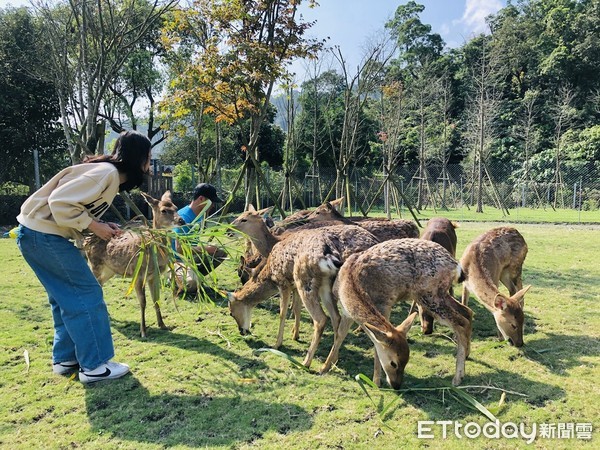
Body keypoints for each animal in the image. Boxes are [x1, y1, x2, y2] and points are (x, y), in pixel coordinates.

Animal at [83, 191, 183, 338]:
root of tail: (87, 241)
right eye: (164, 210)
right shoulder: (138, 274)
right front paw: (143, 332)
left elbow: (156, 299)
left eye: (176, 207)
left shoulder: (155, 276)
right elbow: (143, 302)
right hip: (94, 264)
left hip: (110, 270)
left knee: (100, 284)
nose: (181, 220)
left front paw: (163, 325)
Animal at [227, 223, 378, 368]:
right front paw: (295, 334)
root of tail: (329, 255)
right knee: (336, 317)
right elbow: (296, 308)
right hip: (326, 286)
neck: (269, 274)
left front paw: (277, 344)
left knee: (322, 318)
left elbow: (282, 313)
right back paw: (332, 361)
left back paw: (306, 362)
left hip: (305, 282)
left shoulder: (284, 283)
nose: (242, 331)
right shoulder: (294, 286)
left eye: (231, 313)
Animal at [328, 239, 474, 386]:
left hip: (429, 295)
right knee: (467, 312)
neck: (350, 282)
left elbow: (376, 343)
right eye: (394, 363)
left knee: (460, 322)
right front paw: (326, 367)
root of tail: (456, 265)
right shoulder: (346, 312)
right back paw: (467, 354)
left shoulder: (385, 304)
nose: (396, 385)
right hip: (437, 294)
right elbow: (340, 335)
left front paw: (376, 382)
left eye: (399, 362)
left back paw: (458, 377)